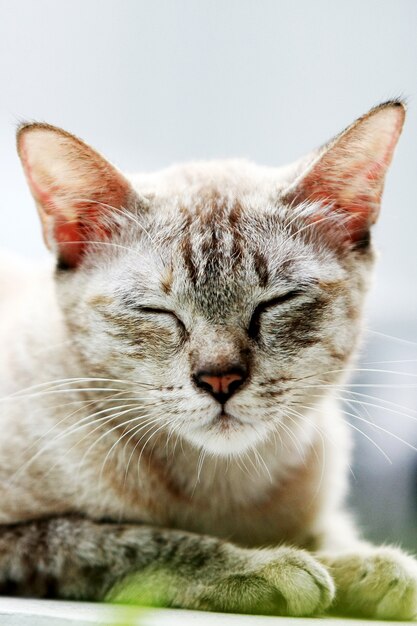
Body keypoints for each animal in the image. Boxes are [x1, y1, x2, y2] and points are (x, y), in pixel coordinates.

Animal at [0, 100, 414, 616]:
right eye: (157, 311)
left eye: (275, 303)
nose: (220, 380)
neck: (223, 485)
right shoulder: (22, 540)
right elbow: (132, 542)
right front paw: (267, 566)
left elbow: (328, 537)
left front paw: (368, 566)